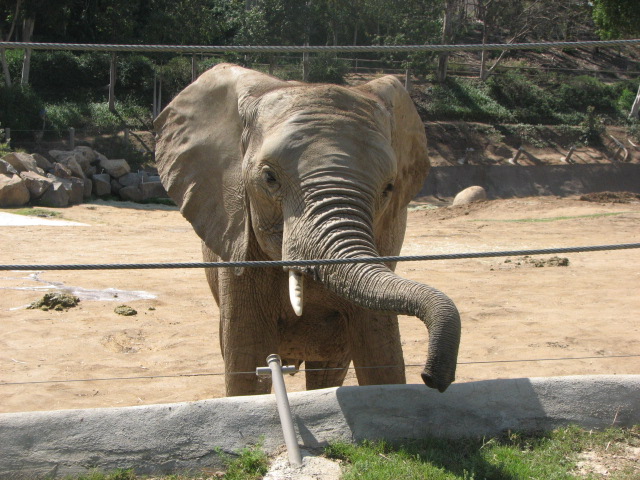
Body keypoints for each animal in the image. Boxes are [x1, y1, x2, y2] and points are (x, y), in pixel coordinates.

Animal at [154, 63, 461, 396]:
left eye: (389, 188)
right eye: (269, 178)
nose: (433, 378)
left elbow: (381, 352)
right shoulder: (236, 238)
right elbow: (247, 362)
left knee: (330, 368)